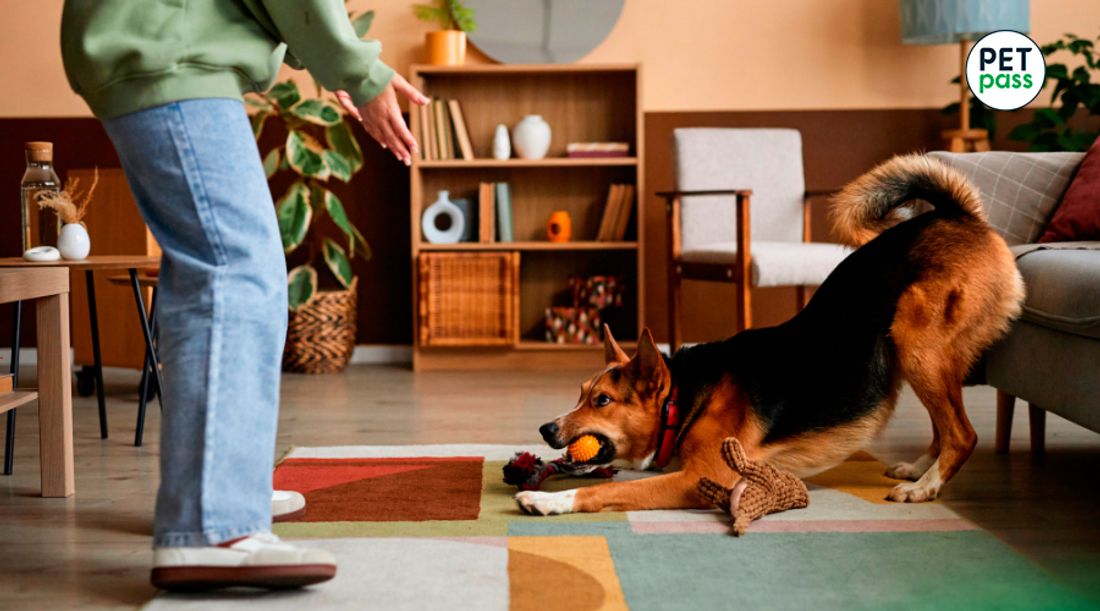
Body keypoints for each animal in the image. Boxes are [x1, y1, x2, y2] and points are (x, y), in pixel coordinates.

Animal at [519, 156, 1025, 517]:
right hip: (914, 354)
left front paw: (547, 500)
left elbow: (601, 493)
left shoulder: (703, 477)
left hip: (915, 341)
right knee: (945, 427)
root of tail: (958, 215)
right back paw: (919, 467)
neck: (683, 400)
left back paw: (923, 487)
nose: (545, 429)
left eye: (602, 400)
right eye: (580, 393)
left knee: (962, 434)